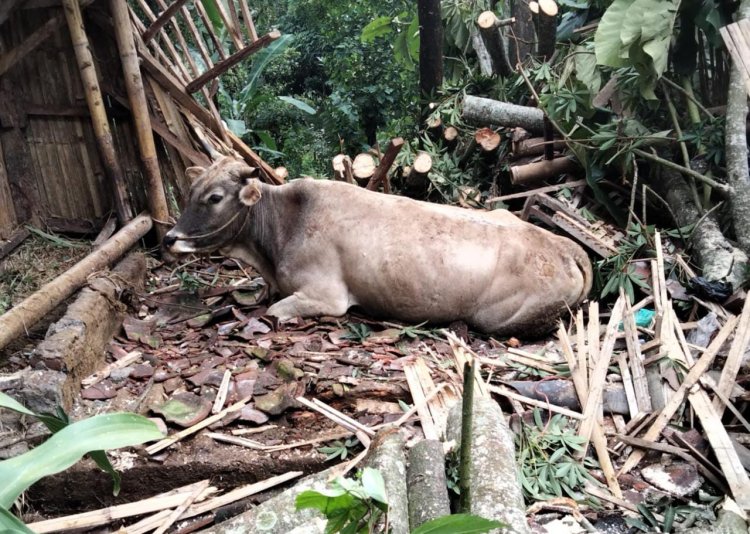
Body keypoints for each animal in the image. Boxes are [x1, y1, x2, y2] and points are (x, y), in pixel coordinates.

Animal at [163, 157, 592, 338]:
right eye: (191, 191)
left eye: (215, 198)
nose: (170, 238)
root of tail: (567, 246)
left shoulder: (326, 296)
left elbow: (275, 310)